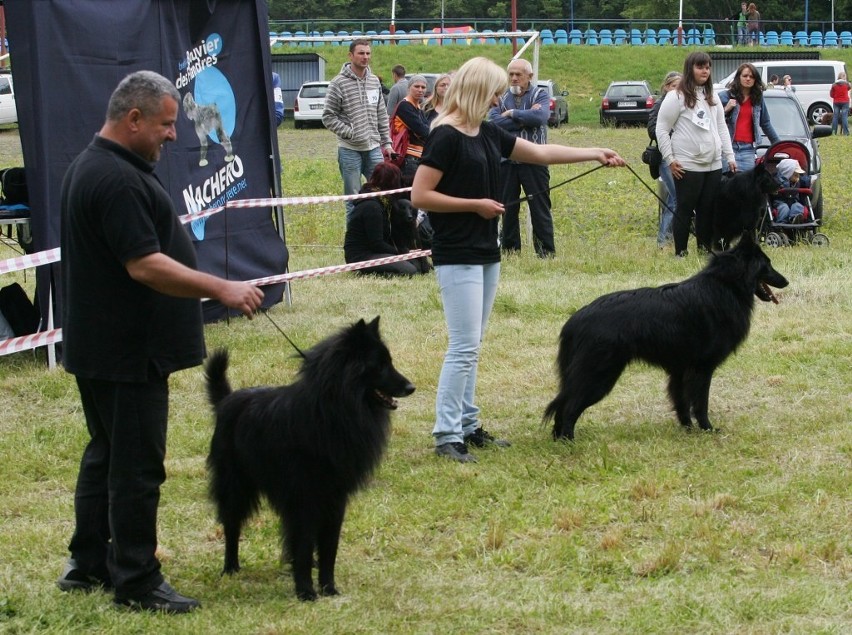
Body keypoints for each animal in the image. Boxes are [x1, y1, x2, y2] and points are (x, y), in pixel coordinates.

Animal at [205, 318, 414, 600]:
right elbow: (303, 546)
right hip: (235, 487)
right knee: (231, 526)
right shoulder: (304, 499)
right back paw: (230, 568)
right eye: (380, 365)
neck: (331, 412)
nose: (411, 387)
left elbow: (328, 549)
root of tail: (227, 399)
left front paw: (328, 587)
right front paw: (305, 591)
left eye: (389, 361)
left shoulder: (335, 500)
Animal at [544, 235, 788, 442]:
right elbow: (700, 404)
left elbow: (682, 402)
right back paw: (569, 441)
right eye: (767, 264)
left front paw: (687, 429)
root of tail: (574, 321)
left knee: (562, 405)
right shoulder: (702, 368)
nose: (786, 282)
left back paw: (559, 440)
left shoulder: (679, 370)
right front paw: (707, 429)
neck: (725, 285)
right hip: (599, 375)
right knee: (569, 407)